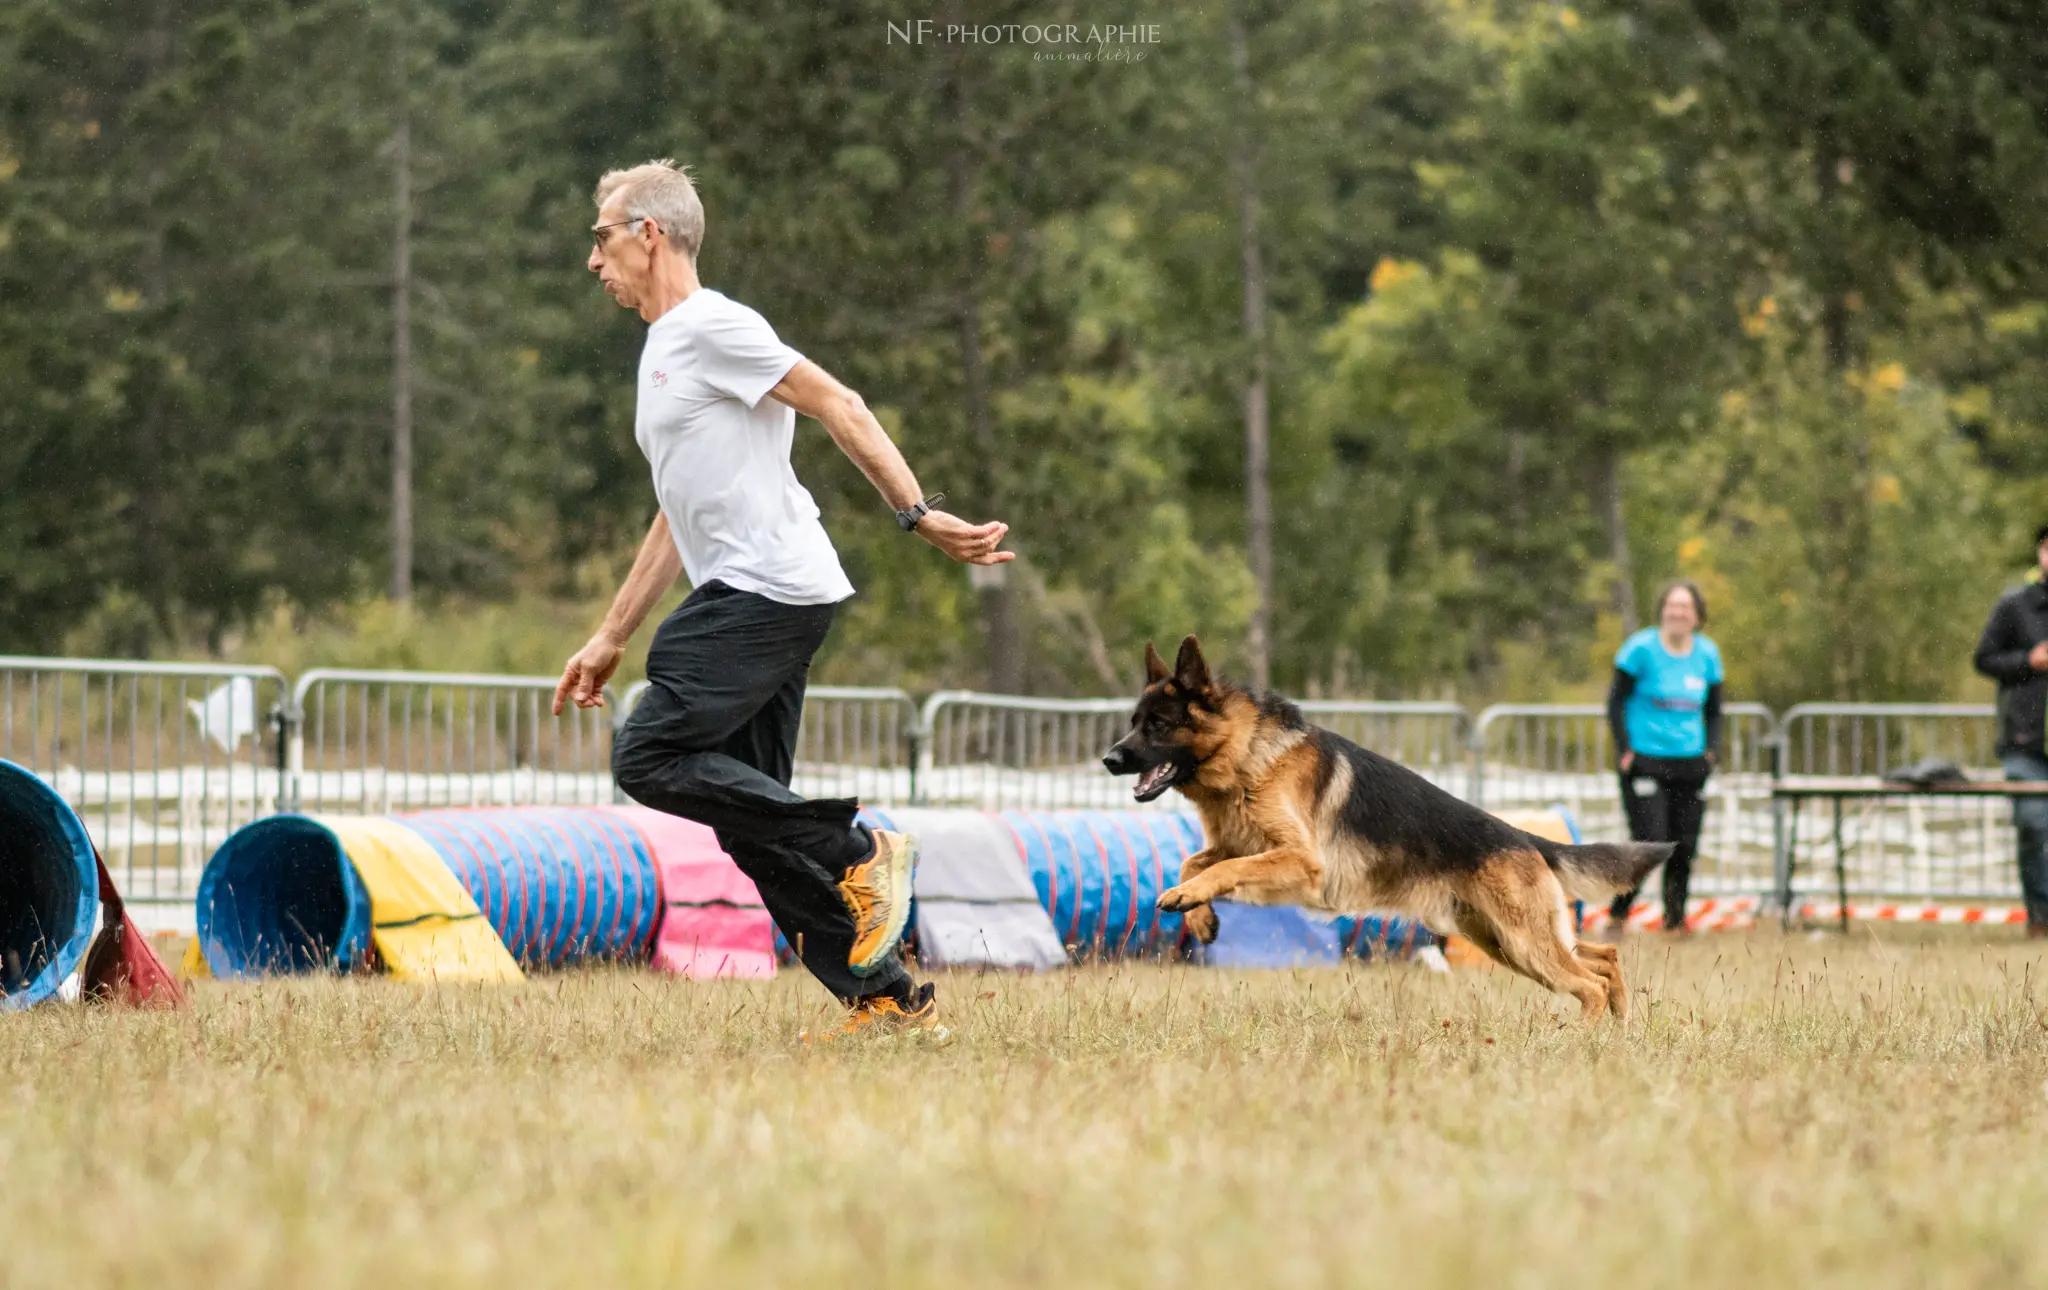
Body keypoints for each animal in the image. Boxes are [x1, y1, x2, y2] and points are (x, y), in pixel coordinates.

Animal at [1105, 638, 1662, 1019]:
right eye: (1133, 722)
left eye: (1157, 725)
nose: (1109, 759)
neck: (1247, 758)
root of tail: (1524, 838)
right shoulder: (1237, 844)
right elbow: (1194, 860)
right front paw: (1198, 914)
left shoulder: (1299, 861)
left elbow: (1224, 868)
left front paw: (1186, 899)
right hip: (1501, 942)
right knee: (1602, 956)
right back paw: (1619, 1022)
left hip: (1522, 942)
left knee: (1588, 983)